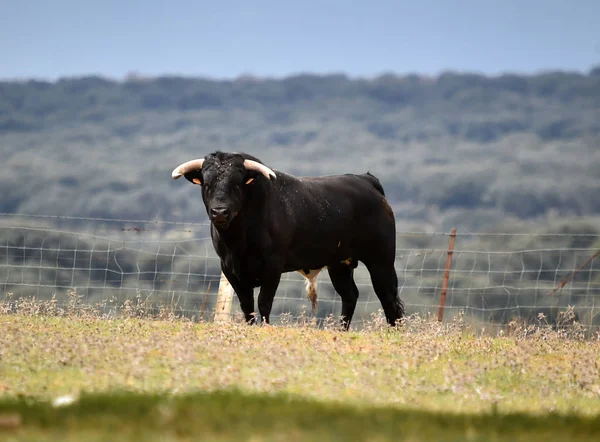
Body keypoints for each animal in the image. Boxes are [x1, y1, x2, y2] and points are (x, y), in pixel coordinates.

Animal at [171, 151, 406, 328]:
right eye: (206, 184)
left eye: (237, 184)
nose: (219, 212)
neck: (238, 240)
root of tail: (365, 180)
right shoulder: (230, 269)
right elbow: (247, 306)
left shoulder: (273, 266)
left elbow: (264, 302)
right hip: (339, 264)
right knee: (350, 295)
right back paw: (341, 330)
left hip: (381, 260)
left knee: (388, 297)